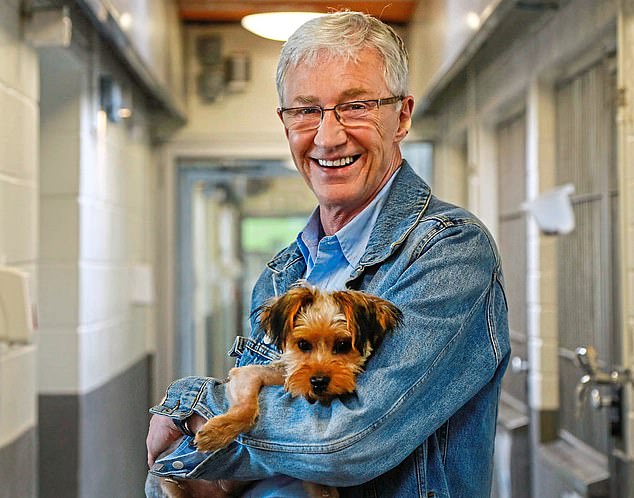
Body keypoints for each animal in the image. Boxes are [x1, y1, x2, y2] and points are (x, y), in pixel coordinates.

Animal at [160, 284, 402, 498]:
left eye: (342, 345)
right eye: (303, 344)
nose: (318, 381)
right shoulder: (246, 375)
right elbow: (246, 409)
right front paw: (218, 431)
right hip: (170, 486)